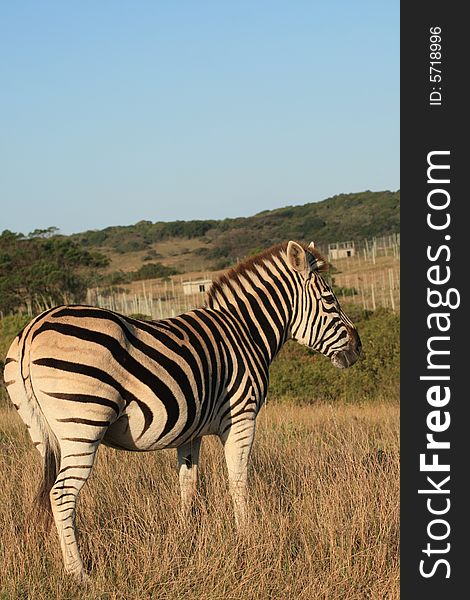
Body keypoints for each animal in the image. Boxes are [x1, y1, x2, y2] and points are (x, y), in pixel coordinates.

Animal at [3, 241, 360, 580]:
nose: (358, 349)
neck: (246, 334)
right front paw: (248, 537)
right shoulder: (241, 417)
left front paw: (186, 539)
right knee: (62, 494)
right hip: (83, 423)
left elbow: (188, 484)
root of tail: (33, 328)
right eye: (329, 300)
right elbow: (238, 480)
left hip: (44, 435)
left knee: (51, 490)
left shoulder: (190, 431)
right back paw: (79, 573)